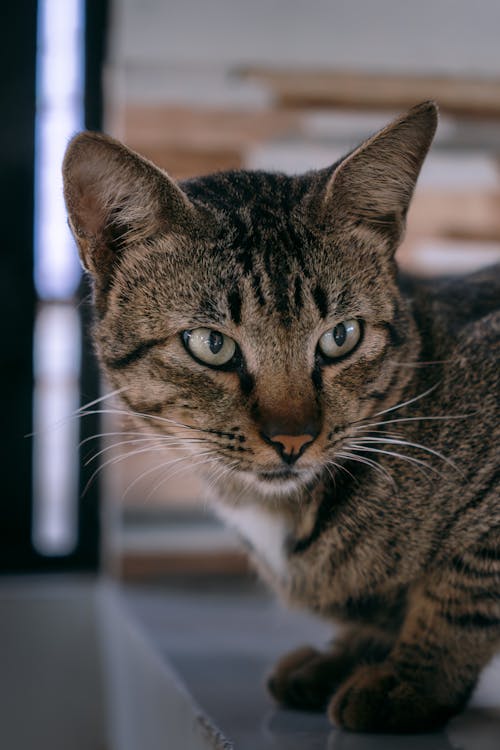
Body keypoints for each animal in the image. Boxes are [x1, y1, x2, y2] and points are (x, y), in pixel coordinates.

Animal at [63, 103, 500, 736]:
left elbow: (461, 590)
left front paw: (413, 680)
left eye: (341, 337)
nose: (293, 438)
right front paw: (349, 654)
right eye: (211, 345)